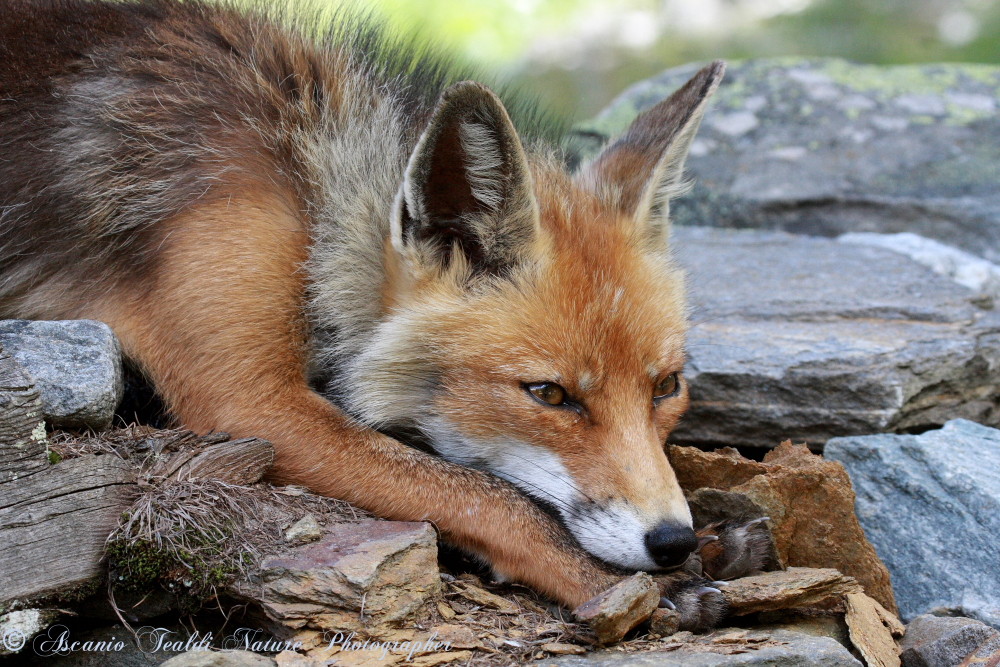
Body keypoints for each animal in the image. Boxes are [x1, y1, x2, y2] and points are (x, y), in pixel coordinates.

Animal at [0, 0, 768, 628]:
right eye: (549, 395)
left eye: (667, 387)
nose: (669, 541)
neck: (308, 187)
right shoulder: (249, 402)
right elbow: (489, 496)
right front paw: (631, 582)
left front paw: (712, 540)